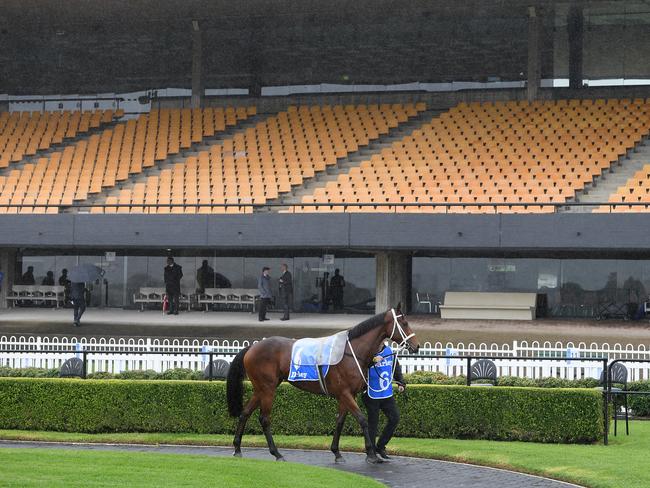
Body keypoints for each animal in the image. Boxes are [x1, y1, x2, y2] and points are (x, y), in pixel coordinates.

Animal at [225, 304, 418, 464]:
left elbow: (340, 421)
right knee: (264, 419)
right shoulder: (345, 393)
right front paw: (371, 454)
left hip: (261, 389)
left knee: (245, 413)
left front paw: (337, 452)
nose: (416, 346)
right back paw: (277, 453)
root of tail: (251, 347)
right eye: (405, 322)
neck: (352, 351)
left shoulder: (347, 395)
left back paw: (237, 448)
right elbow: (362, 420)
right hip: (268, 389)